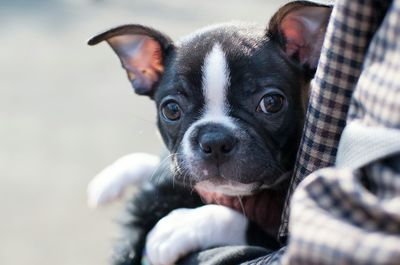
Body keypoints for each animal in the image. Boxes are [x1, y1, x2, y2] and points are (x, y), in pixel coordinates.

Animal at [87, 2, 332, 264]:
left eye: (272, 103)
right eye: (171, 109)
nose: (214, 140)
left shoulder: (285, 238)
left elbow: (236, 220)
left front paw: (179, 226)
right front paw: (117, 175)